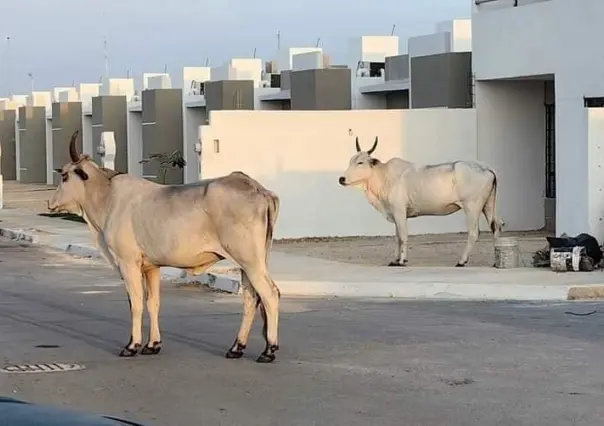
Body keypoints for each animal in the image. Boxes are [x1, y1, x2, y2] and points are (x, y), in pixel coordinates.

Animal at [48, 131, 282, 362]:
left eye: (65, 176)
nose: (50, 203)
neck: (106, 196)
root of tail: (258, 189)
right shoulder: (151, 267)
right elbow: (153, 303)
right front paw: (153, 344)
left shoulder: (128, 263)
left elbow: (136, 303)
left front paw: (132, 345)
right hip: (249, 263)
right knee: (251, 298)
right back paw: (237, 347)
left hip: (250, 261)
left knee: (270, 294)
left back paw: (268, 350)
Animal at [338, 136, 502, 266]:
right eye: (351, 161)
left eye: (360, 162)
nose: (342, 179)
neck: (383, 176)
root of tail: (485, 167)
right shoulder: (396, 213)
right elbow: (397, 237)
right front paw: (395, 260)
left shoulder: (399, 210)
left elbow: (403, 236)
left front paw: (402, 261)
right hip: (487, 205)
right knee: (496, 226)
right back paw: (495, 261)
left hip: (472, 206)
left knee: (474, 232)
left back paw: (462, 261)